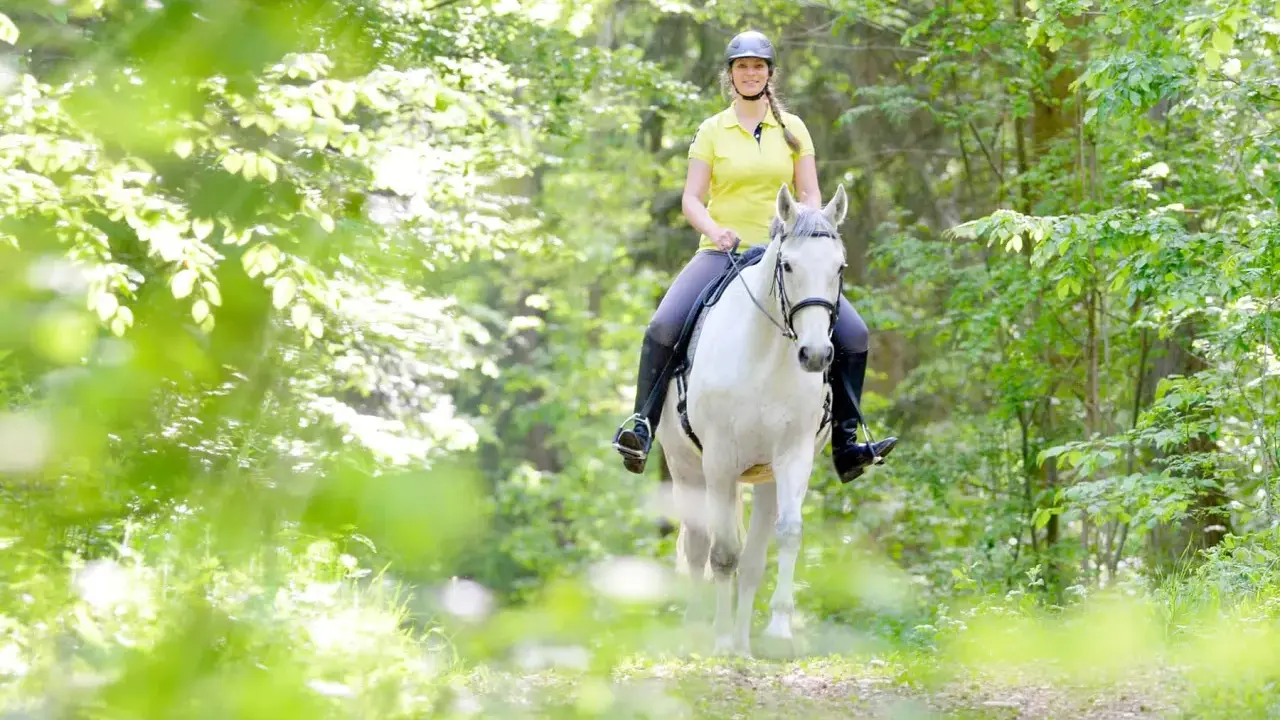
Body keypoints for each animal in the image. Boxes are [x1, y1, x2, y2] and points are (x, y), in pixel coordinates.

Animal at [657, 183, 849, 657]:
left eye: (839, 267)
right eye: (788, 264)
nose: (815, 355)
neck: (767, 358)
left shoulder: (793, 457)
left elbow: (786, 536)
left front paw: (777, 632)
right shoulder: (719, 462)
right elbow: (722, 552)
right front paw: (721, 641)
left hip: (763, 480)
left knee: (754, 558)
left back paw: (745, 644)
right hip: (687, 469)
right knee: (698, 547)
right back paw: (700, 633)